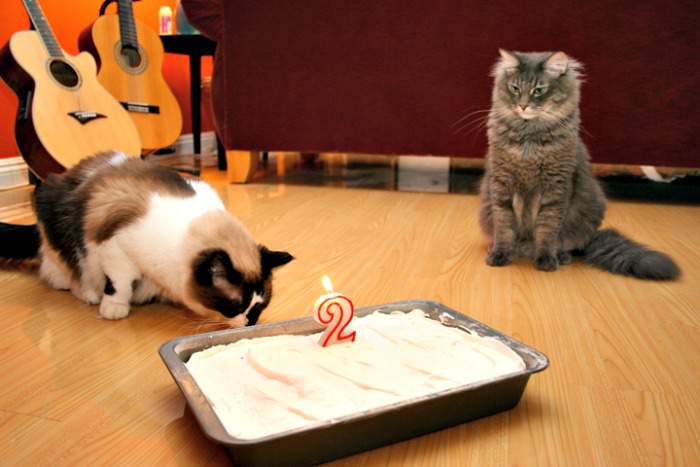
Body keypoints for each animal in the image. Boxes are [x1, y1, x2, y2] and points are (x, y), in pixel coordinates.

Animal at [0, 153, 294, 326]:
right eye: (236, 306)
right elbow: (119, 285)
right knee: (59, 268)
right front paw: (115, 307)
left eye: (259, 307)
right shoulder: (115, 249)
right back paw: (84, 291)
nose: (250, 323)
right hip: (56, 217)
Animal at [478, 49, 680, 280]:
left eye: (539, 90)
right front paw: (500, 254)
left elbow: (547, 230)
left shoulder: (556, 189)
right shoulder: (501, 185)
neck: (530, 137)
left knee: (567, 244)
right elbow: (504, 227)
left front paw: (546, 259)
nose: (522, 105)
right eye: (515, 88)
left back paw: (560, 256)